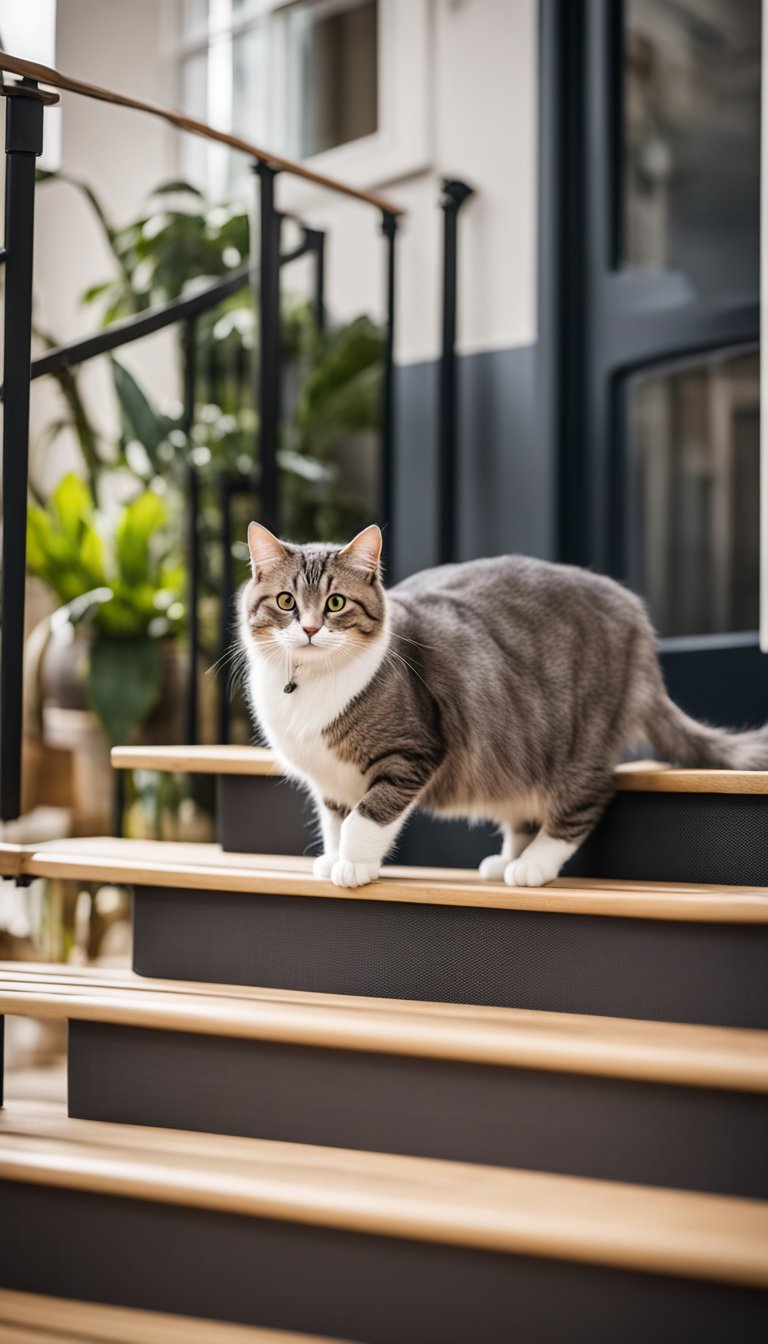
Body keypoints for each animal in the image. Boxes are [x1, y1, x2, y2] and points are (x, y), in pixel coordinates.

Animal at [240, 524, 768, 892]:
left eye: (334, 603)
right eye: (286, 601)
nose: (310, 629)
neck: (307, 688)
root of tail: (635, 618)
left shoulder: (411, 752)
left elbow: (366, 816)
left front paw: (353, 864)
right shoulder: (330, 780)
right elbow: (334, 820)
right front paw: (333, 856)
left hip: (574, 742)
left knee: (590, 797)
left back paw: (532, 865)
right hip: (516, 752)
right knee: (523, 809)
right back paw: (509, 860)